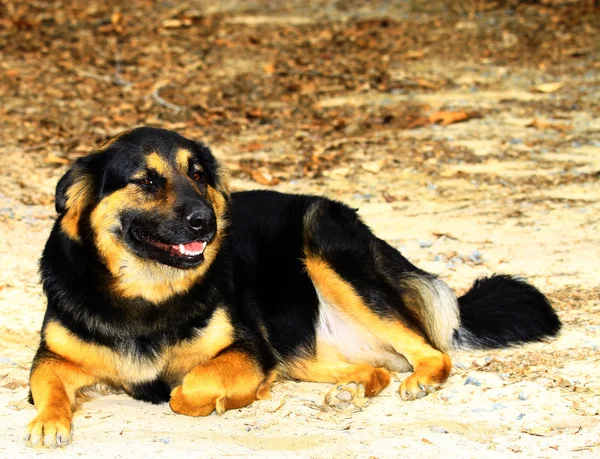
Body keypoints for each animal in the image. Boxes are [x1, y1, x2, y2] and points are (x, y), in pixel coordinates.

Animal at [24, 127, 564, 448]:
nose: (207, 223)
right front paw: (49, 421)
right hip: (296, 343)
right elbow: (43, 384)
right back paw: (352, 388)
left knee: (431, 350)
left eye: (198, 175)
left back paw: (420, 378)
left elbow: (189, 387)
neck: (146, 294)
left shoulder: (248, 349)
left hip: (323, 247)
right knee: (371, 368)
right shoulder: (52, 357)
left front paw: (232, 397)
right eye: (148, 181)